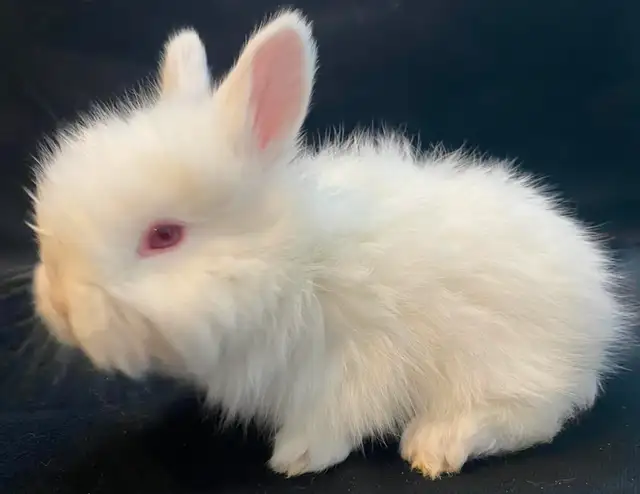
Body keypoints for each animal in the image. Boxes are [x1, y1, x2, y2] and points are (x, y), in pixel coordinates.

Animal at [30, 9, 633, 479]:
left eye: (163, 236)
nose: (59, 303)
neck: (294, 266)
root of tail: (599, 313)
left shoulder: (354, 361)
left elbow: (337, 418)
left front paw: (295, 458)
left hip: (503, 360)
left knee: (533, 416)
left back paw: (436, 444)